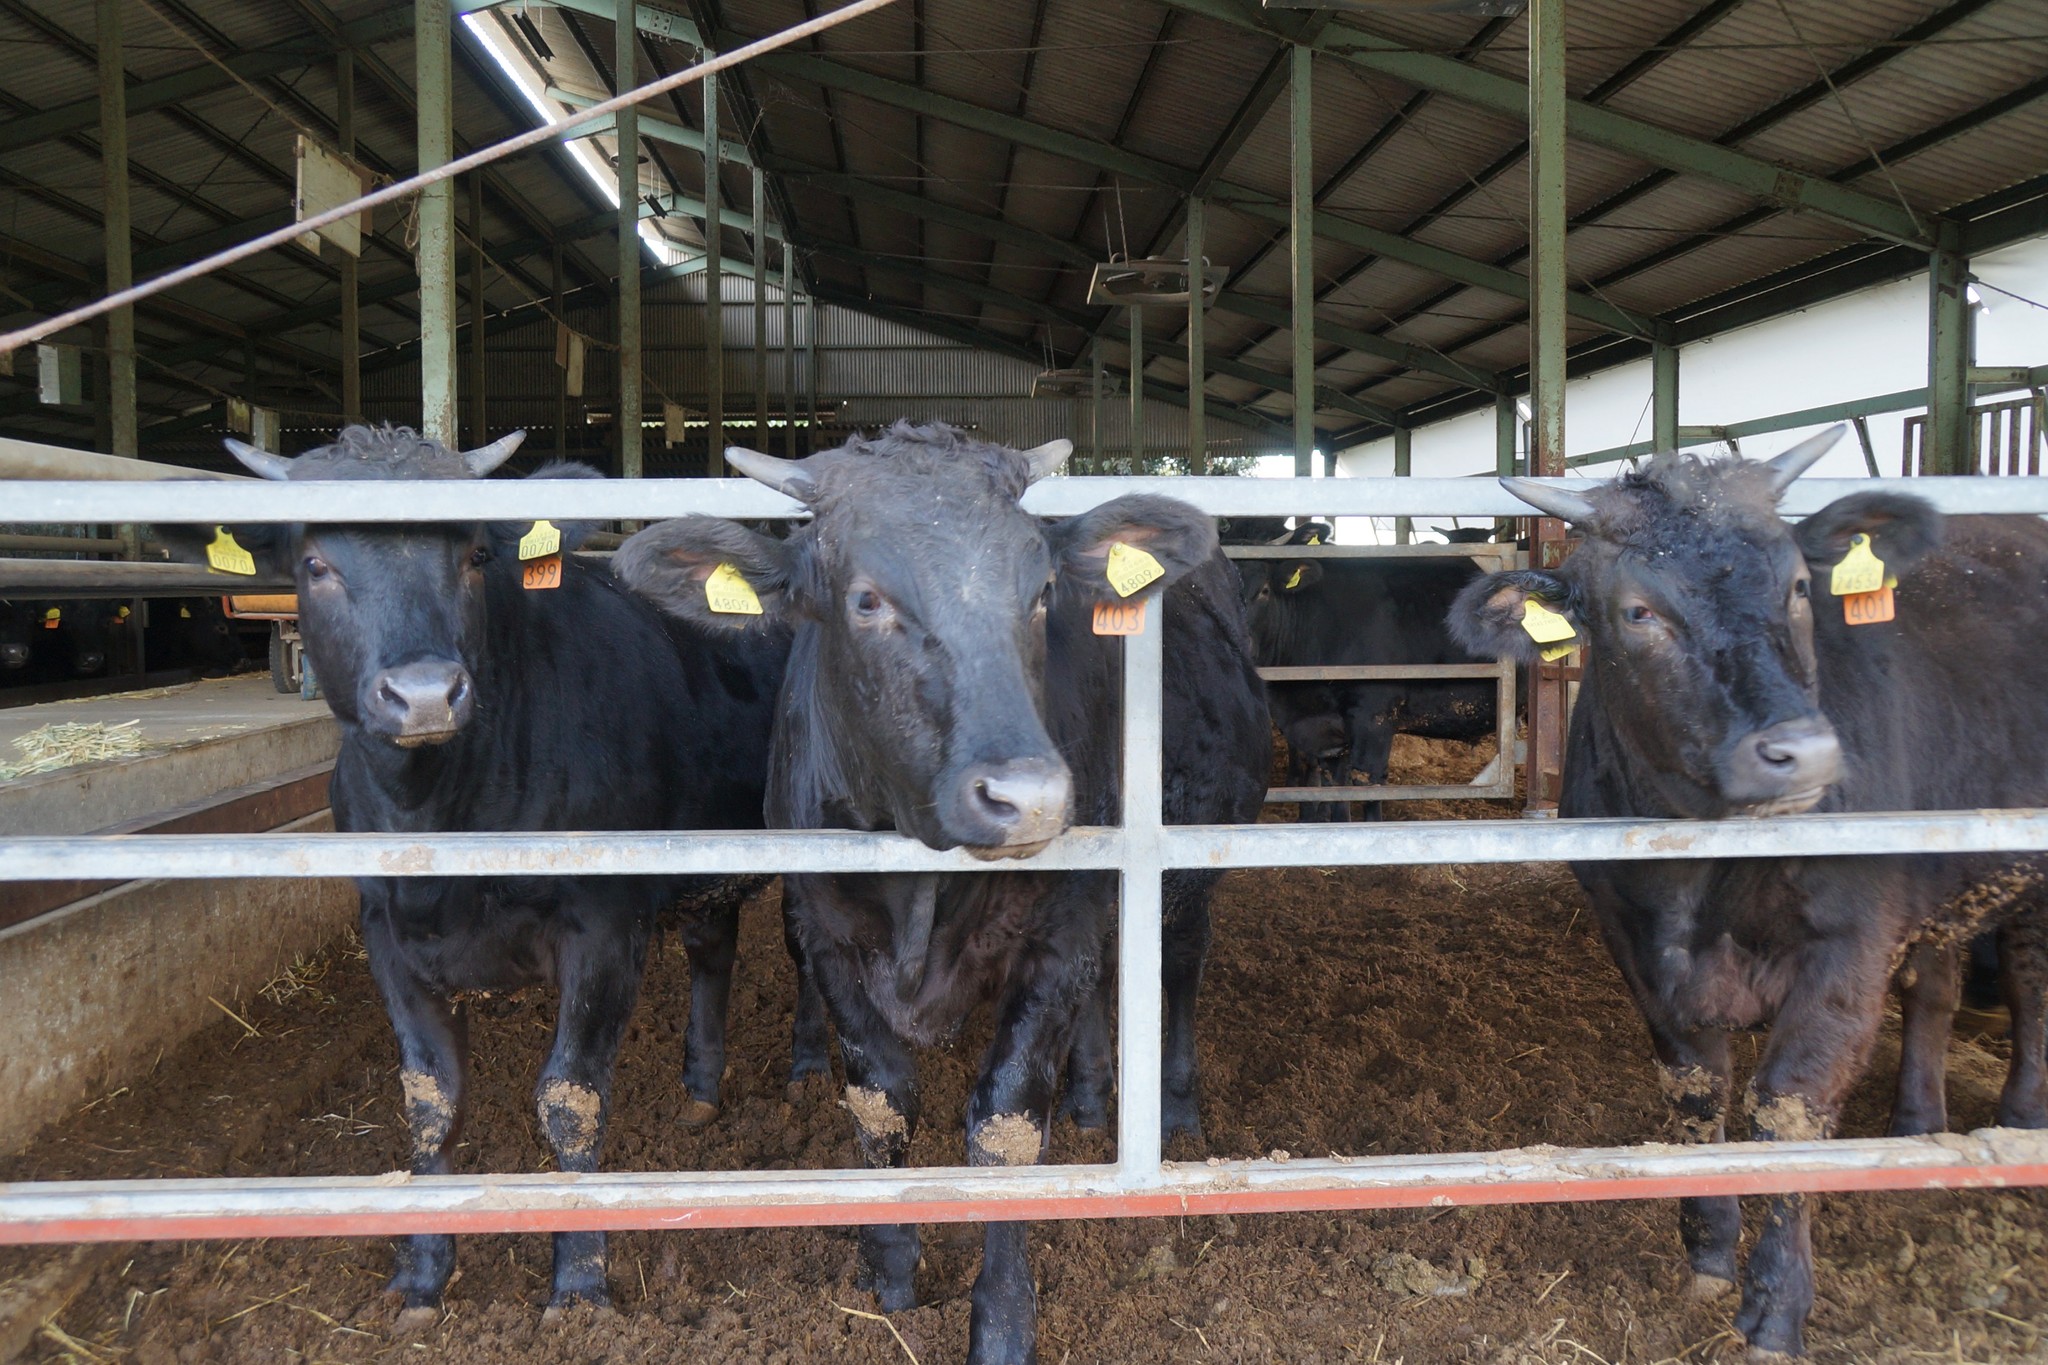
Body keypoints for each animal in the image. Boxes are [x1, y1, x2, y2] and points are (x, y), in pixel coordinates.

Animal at [199, 427, 786, 1326]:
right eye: (314, 562)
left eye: (475, 554)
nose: (423, 693)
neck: (440, 818)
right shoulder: (385, 932)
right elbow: (430, 1100)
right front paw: (422, 1273)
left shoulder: (605, 925)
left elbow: (570, 1099)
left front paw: (579, 1285)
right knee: (713, 946)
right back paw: (699, 1093)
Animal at [614, 421, 1269, 1358]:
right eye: (865, 600)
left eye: (1041, 592)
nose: (1029, 794)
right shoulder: (826, 933)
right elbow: (882, 1101)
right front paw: (890, 1271)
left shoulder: (1057, 934)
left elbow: (1004, 1124)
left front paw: (1001, 1317)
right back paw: (1092, 1092)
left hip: (1190, 864)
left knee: (1177, 962)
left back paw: (1171, 1107)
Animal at [1449, 435, 2039, 1358]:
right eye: (1639, 612)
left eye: (1798, 585)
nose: (1802, 750)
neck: (1705, 872)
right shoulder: (1635, 942)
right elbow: (1696, 1092)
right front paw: (1707, 1248)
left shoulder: (1847, 948)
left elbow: (1789, 1106)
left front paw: (1777, 1304)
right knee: (1937, 989)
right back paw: (1915, 1127)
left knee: (2028, 981)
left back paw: (2018, 1118)